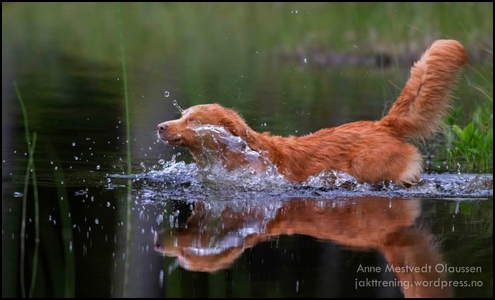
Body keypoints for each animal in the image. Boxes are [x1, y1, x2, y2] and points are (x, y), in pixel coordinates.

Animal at [157, 39, 466, 185]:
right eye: (181, 115)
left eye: (193, 121)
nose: (160, 126)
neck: (241, 152)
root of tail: (382, 124)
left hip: (366, 165)